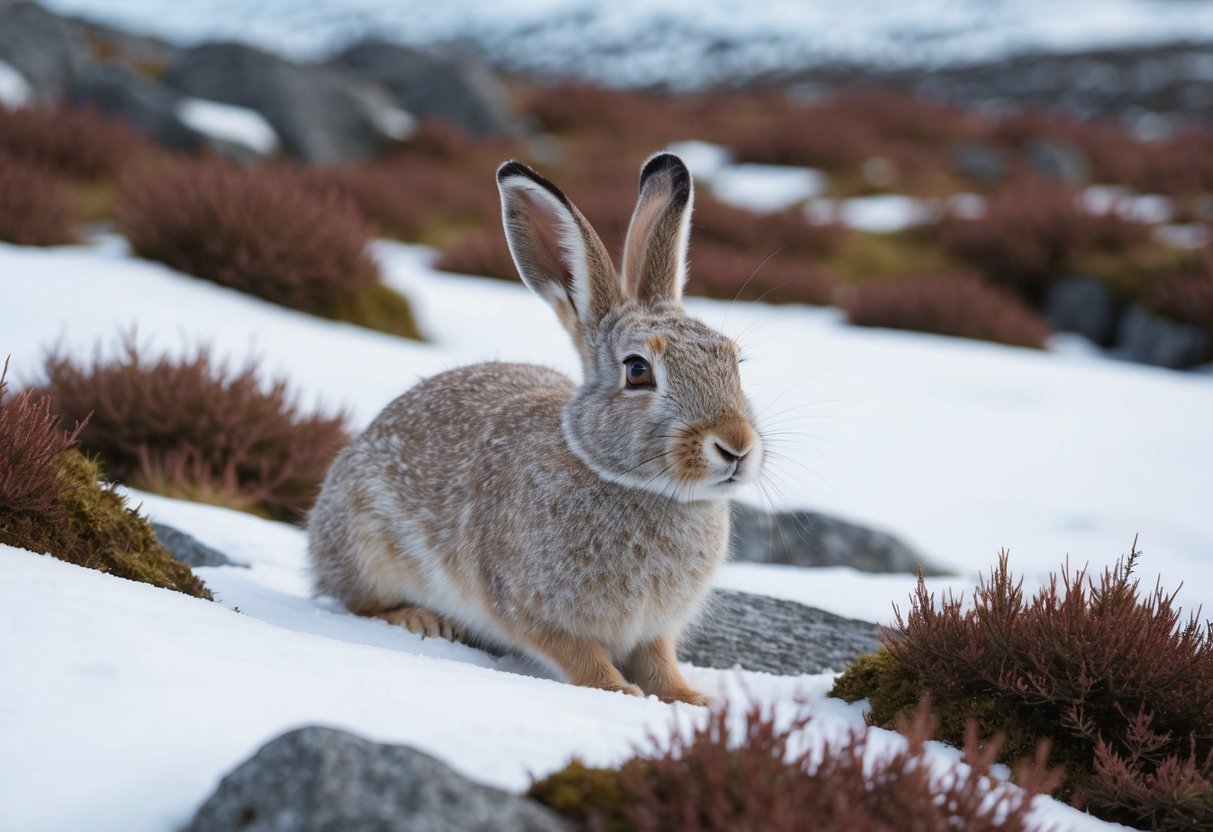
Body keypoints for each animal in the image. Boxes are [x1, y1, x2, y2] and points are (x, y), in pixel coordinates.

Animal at [307, 152, 763, 705]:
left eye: (734, 360)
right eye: (637, 370)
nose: (736, 446)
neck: (635, 484)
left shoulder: (655, 630)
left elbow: (659, 662)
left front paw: (690, 699)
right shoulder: (527, 606)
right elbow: (576, 654)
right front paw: (618, 691)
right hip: (367, 545)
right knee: (357, 600)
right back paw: (421, 620)